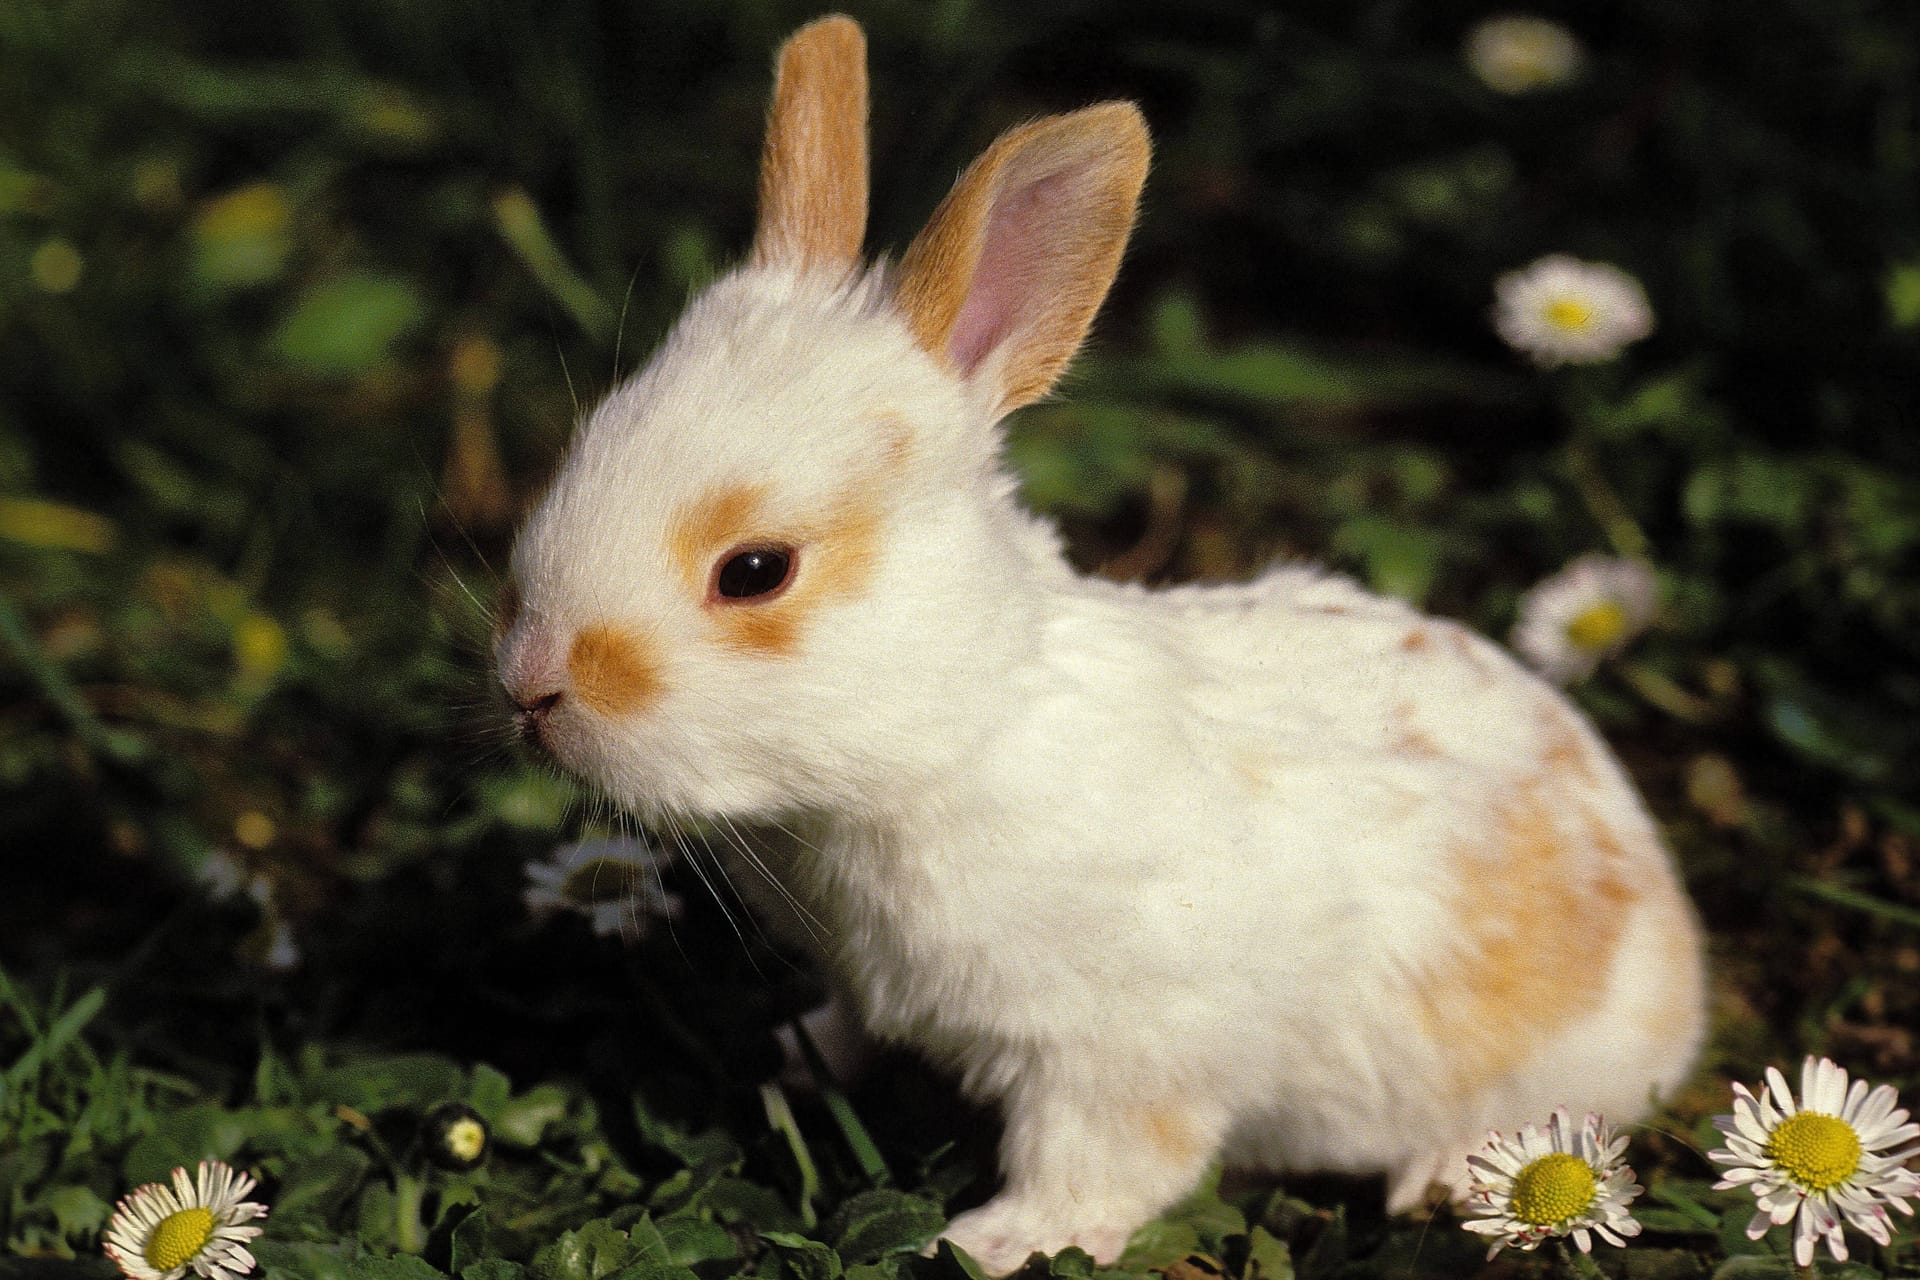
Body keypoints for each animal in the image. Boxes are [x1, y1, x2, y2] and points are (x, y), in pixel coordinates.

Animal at [495, 14, 1712, 1274]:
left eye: (755, 570)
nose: (530, 685)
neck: (955, 737)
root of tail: (1671, 932)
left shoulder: (1119, 1055)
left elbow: (1104, 1161)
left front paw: (993, 1242)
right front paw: (789, 1058)